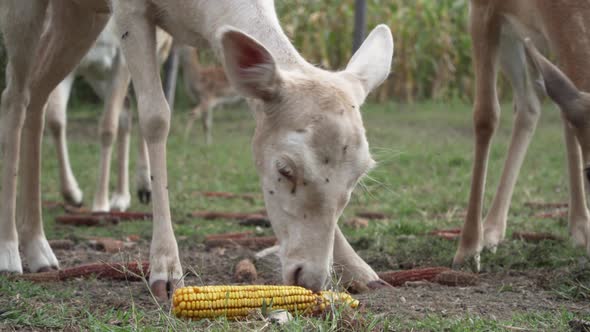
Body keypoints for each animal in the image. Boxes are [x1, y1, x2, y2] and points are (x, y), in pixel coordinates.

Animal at [2, 0, 396, 300]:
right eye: (284, 169)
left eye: (357, 178)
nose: (309, 279)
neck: (197, 12)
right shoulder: (129, 10)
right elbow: (156, 116)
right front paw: (165, 270)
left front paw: (361, 270)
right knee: (16, 97)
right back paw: (12, 251)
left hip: (81, 16)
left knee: (39, 95)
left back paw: (38, 247)